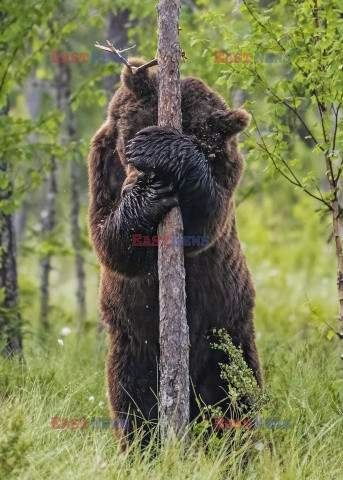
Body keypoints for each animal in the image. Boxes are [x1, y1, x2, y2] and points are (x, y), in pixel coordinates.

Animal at [87, 58, 262, 444]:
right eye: (132, 135)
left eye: (199, 143)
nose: (148, 178)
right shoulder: (102, 167)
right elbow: (109, 239)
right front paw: (146, 196)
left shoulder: (226, 168)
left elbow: (206, 217)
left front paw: (164, 150)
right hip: (134, 345)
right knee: (134, 403)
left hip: (225, 334)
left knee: (237, 397)